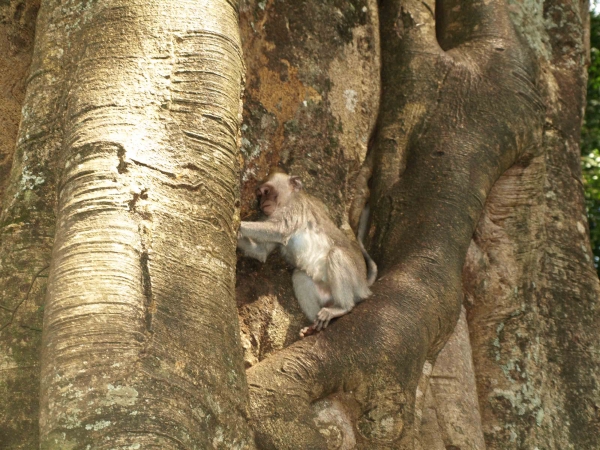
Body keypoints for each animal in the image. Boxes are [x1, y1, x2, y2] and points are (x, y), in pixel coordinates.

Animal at [238, 171, 376, 336]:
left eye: (266, 192)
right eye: (259, 195)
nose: (261, 203)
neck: (287, 200)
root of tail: (364, 285)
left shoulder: (296, 207)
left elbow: (279, 230)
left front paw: (239, 225)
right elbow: (261, 252)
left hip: (354, 282)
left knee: (336, 254)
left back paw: (342, 308)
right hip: (325, 294)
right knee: (299, 276)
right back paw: (313, 327)